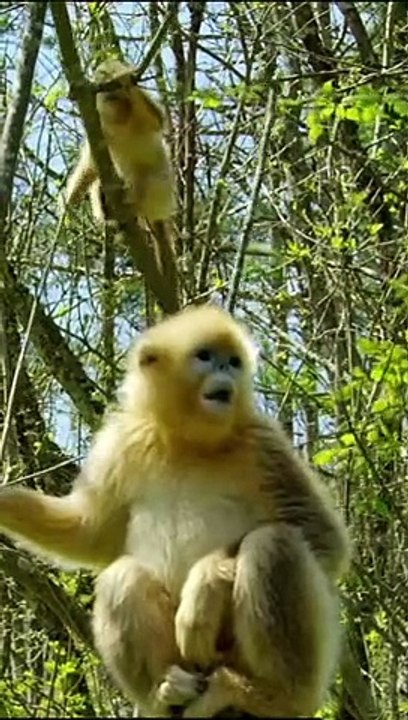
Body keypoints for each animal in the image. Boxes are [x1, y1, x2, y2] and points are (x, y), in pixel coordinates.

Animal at [0, 305, 350, 717]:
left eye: (233, 361)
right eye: (205, 356)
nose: (227, 371)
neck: (189, 442)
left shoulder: (262, 442)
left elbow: (322, 538)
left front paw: (206, 586)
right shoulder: (122, 443)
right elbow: (90, 534)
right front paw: (4, 501)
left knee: (273, 543)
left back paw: (269, 694)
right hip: (188, 661)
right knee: (122, 576)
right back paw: (167, 695)